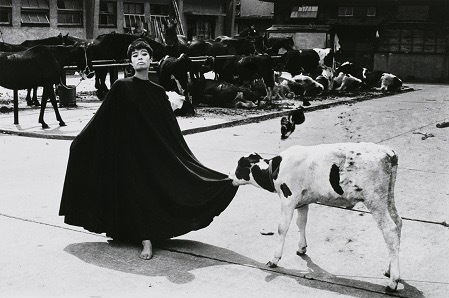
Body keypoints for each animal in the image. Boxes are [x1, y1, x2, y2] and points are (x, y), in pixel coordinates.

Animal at [229, 142, 400, 292]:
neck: (276, 169)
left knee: (390, 229)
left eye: (239, 166)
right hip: (388, 197)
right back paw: (389, 270)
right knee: (398, 223)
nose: (229, 176)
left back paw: (393, 282)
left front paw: (275, 259)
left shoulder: (288, 198)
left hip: (375, 199)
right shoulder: (302, 202)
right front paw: (302, 248)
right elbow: (301, 223)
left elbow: (282, 228)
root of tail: (387, 151)